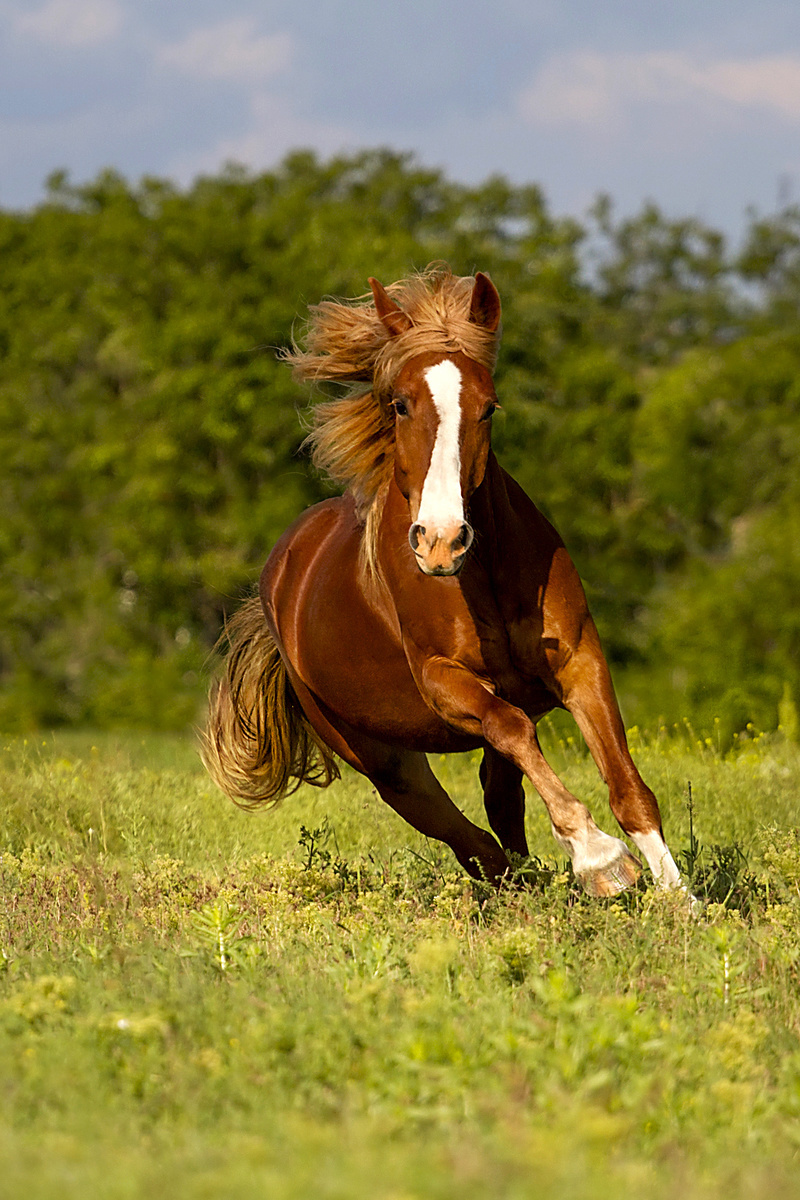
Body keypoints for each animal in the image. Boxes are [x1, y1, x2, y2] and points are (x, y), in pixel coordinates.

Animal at [203, 265, 686, 902]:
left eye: (489, 407)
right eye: (401, 404)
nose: (440, 540)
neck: (480, 580)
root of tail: (280, 577)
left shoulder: (579, 658)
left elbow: (629, 786)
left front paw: (681, 900)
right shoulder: (441, 681)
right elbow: (509, 730)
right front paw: (600, 858)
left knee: (498, 807)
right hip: (381, 759)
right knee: (469, 839)